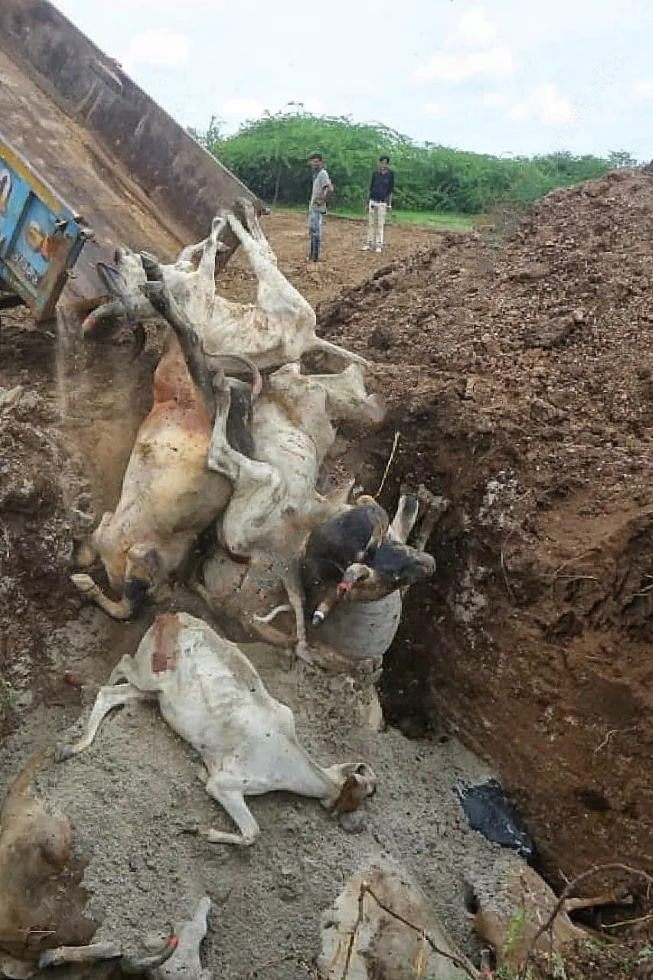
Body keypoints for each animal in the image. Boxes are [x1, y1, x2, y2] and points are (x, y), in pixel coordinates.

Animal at [55, 612, 377, 847]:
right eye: (362, 796)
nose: (358, 826)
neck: (290, 761)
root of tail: (171, 616)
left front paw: (200, 773)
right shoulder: (227, 784)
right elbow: (252, 833)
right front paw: (200, 831)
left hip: (153, 695)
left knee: (113, 694)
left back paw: (73, 745)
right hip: (148, 676)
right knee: (121, 666)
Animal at [82, 200, 368, 371]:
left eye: (120, 273)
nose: (116, 253)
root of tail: (311, 339)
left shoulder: (186, 270)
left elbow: (191, 249)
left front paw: (218, 241)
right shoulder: (204, 283)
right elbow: (206, 249)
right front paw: (218, 228)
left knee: (264, 250)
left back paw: (244, 210)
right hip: (277, 288)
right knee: (260, 251)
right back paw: (238, 211)